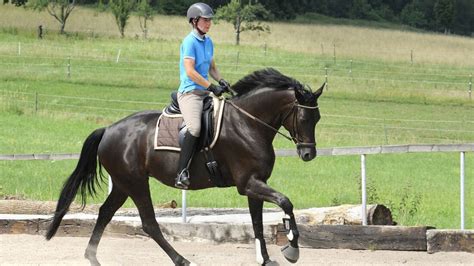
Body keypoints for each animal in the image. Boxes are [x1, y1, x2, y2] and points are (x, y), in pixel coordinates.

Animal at [46, 69, 324, 266]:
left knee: (105, 213)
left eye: (317, 118)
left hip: (124, 184)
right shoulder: (249, 184)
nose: (308, 154)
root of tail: (109, 130)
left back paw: (93, 257)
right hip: (136, 183)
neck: (248, 123)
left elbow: (258, 222)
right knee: (149, 224)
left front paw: (265, 259)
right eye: (303, 117)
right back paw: (183, 260)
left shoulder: (255, 184)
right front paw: (292, 248)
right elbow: (286, 202)